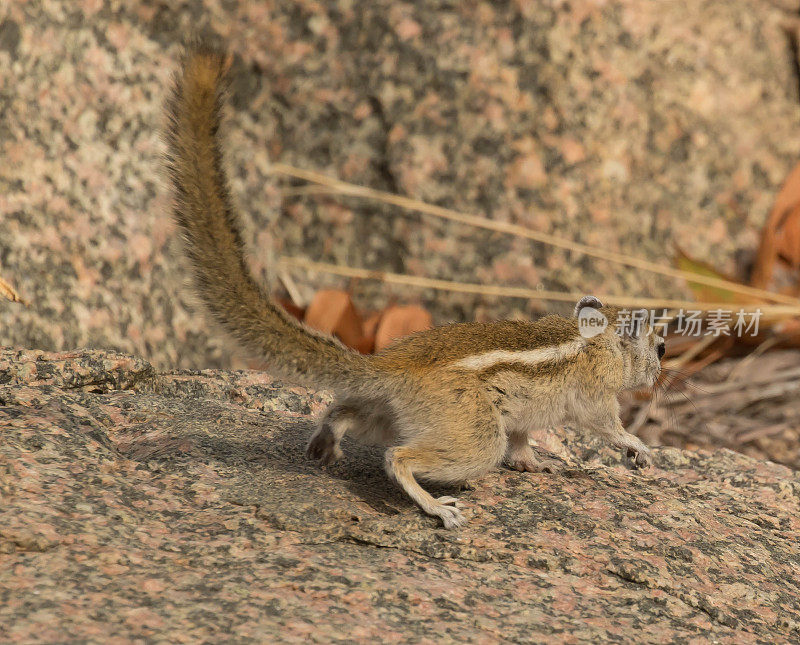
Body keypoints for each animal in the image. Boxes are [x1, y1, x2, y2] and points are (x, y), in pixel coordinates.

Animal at [166, 45, 664, 528]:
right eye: (660, 347)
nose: (661, 375)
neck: (600, 341)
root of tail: (388, 367)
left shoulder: (526, 418)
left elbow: (523, 442)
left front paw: (538, 464)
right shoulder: (596, 396)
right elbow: (606, 427)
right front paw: (638, 447)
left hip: (389, 415)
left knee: (342, 411)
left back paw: (325, 446)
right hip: (475, 434)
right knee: (398, 457)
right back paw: (438, 508)